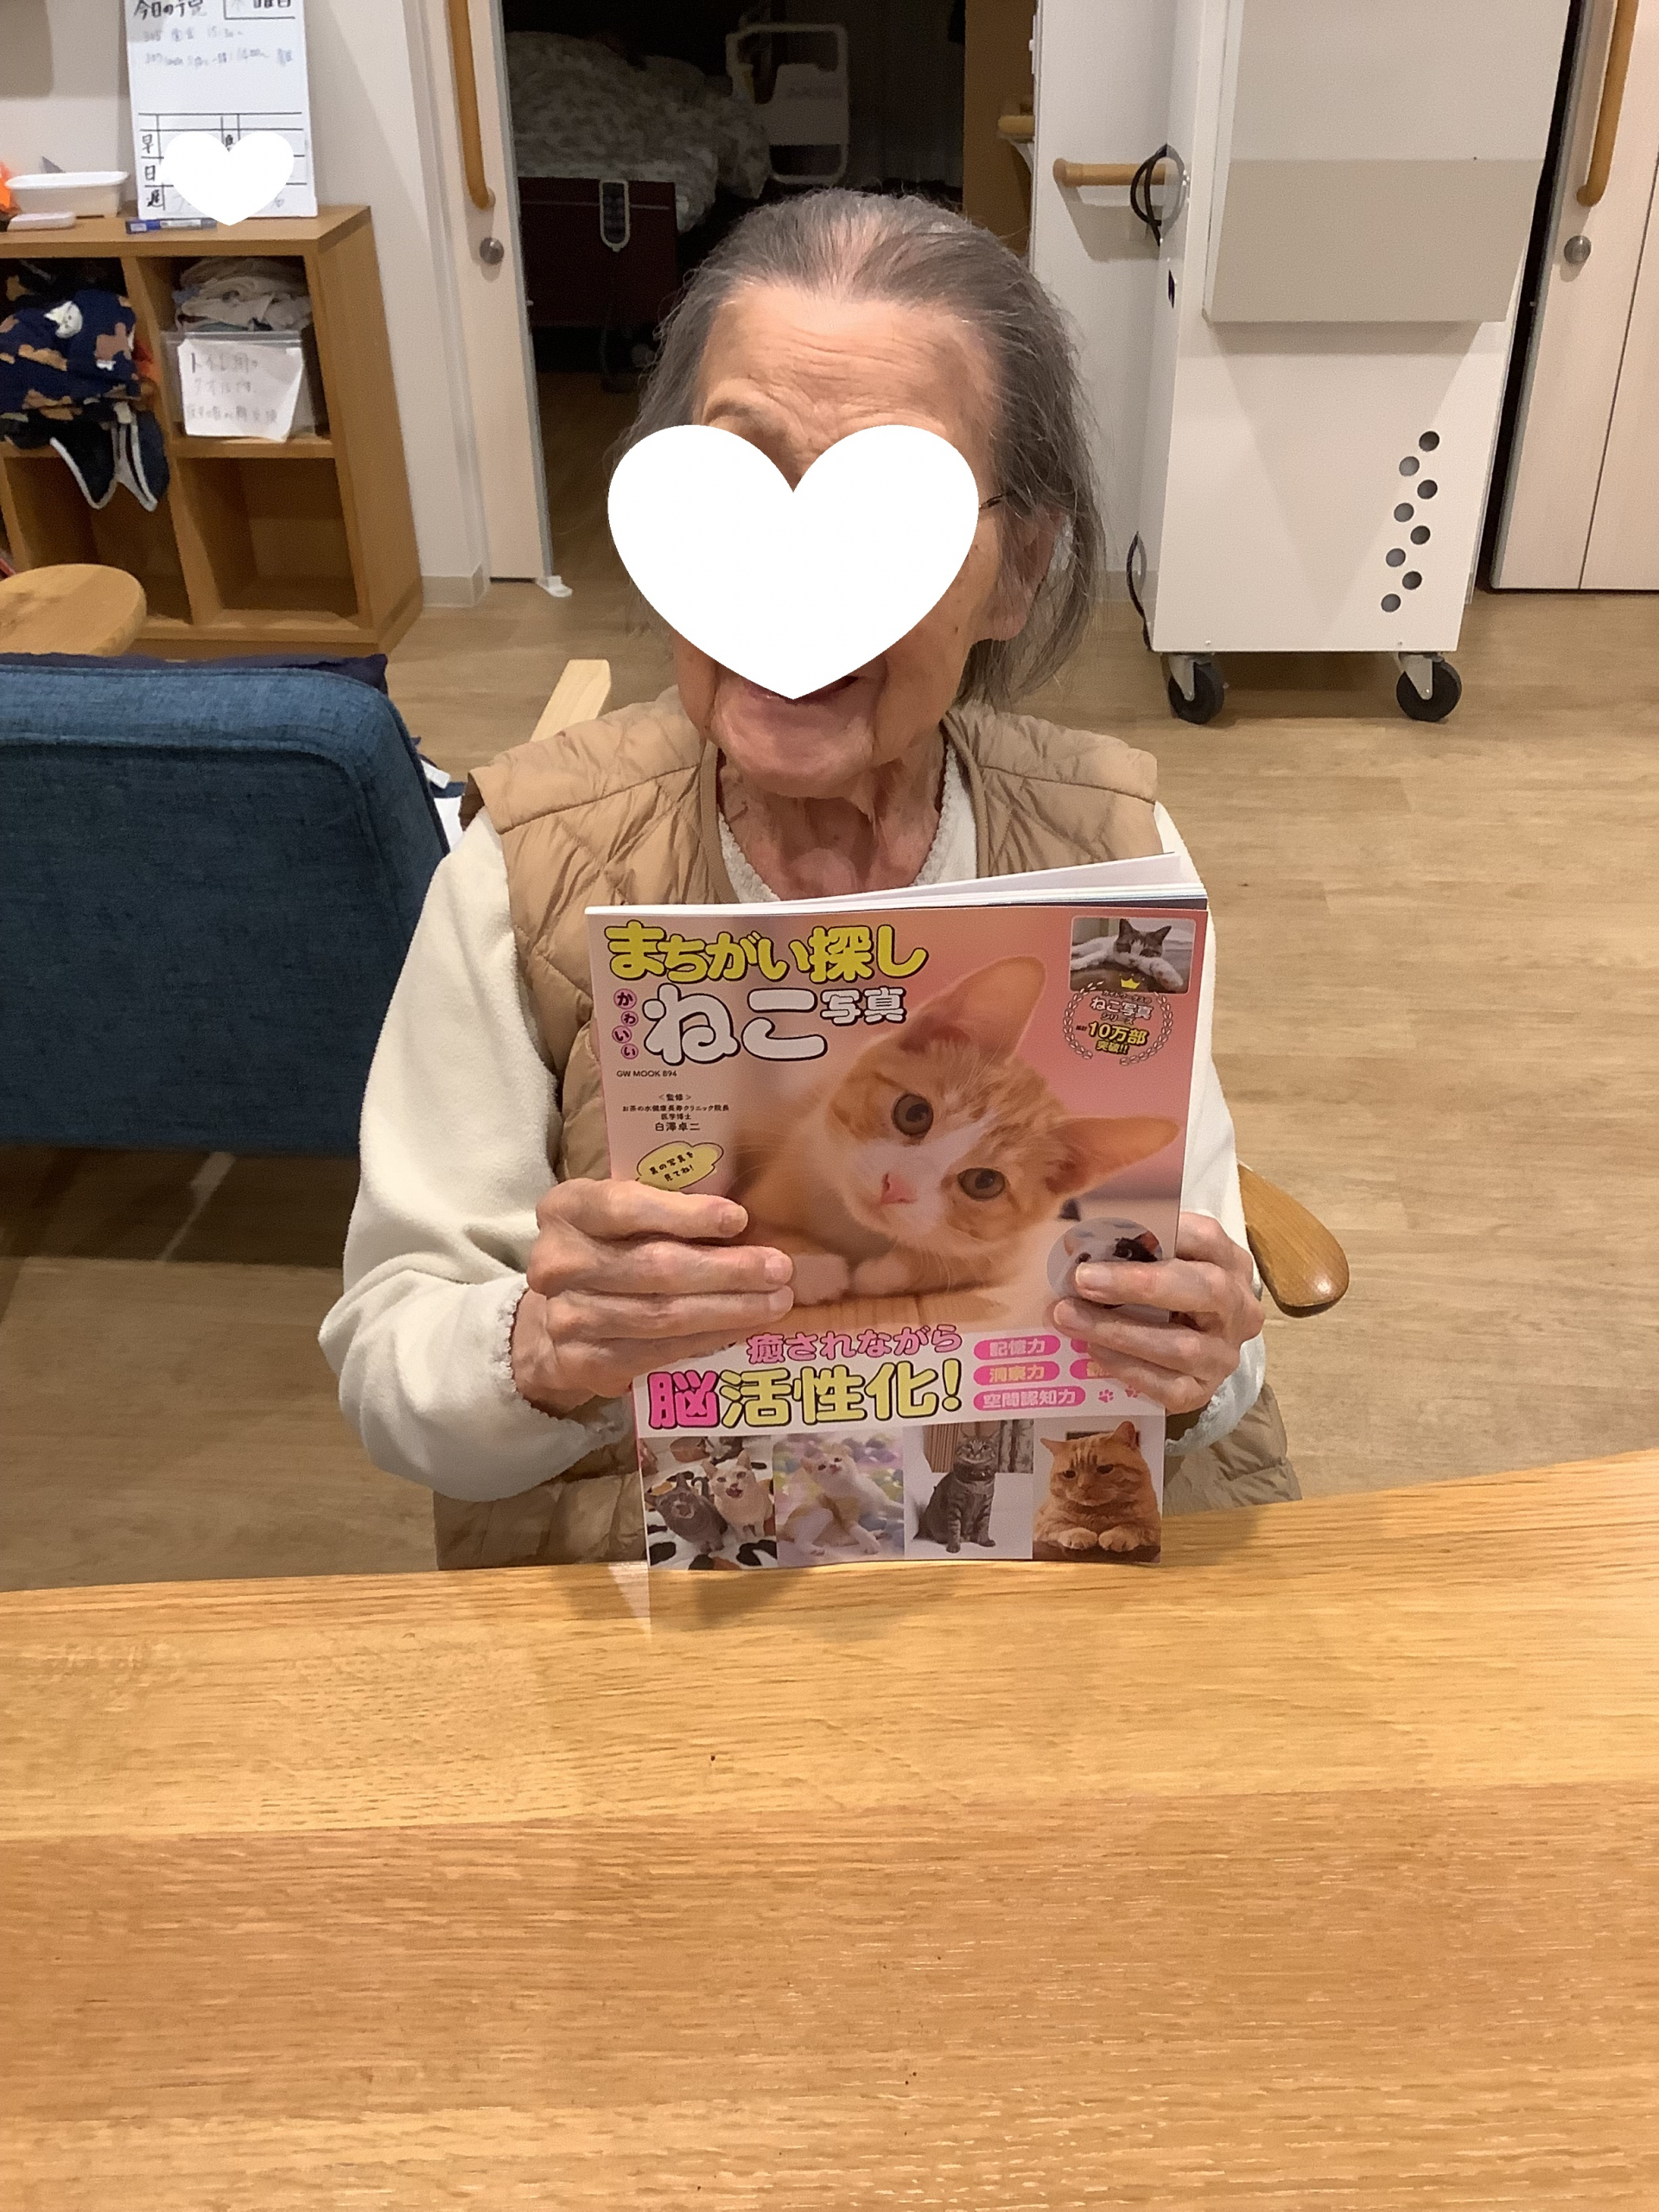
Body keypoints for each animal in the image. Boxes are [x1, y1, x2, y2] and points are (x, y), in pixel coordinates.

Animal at [731, 957, 1180, 1308]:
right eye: (914, 1113)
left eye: (984, 1183)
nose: (896, 1186)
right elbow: (754, 1227)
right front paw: (813, 1266)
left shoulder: (1013, 1251)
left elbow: (970, 1261)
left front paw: (882, 1272)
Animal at [913, 1433, 1000, 1552]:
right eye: (968, 1446)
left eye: (985, 1447)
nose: (975, 1452)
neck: (977, 1481)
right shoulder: (955, 1504)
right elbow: (955, 1527)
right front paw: (954, 1545)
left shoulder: (986, 1503)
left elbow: (984, 1524)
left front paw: (984, 1541)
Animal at [1031, 1423, 1161, 1559]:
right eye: (1068, 1474)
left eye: (1105, 1469)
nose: (1084, 1485)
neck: (1096, 1514)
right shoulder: (1043, 1524)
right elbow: (1063, 1526)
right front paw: (1081, 1535)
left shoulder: (1154, 1527)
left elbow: (1131, 1526)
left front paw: (1116, 1536)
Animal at [1071, 919, 1185, 993]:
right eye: (1127, 947)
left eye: (1145, 951)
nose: (1132, 960)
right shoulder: (1106, 952)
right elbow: (1092, 956)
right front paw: (1075, 964)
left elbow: (1158, 965)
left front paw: (1170, 980)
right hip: (1088, 946)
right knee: (1079, 949)